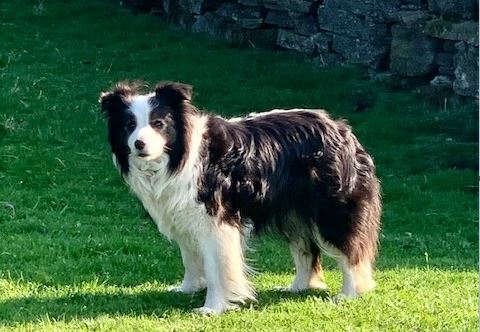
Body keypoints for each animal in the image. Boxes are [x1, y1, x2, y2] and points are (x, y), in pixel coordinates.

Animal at [98, 80, 382, 314]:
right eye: (129, 125)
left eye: (158, 124)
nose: (139, 144)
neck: (179, 156)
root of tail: (342, 129)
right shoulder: (183, 215)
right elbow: (189, 257)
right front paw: (187, 288)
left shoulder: (216, 219)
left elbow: (216, 268)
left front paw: (212, 308)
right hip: (292, 211)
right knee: (305, 248)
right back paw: (298, 287)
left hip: (333, 207)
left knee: (350, 247)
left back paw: (348, 294)